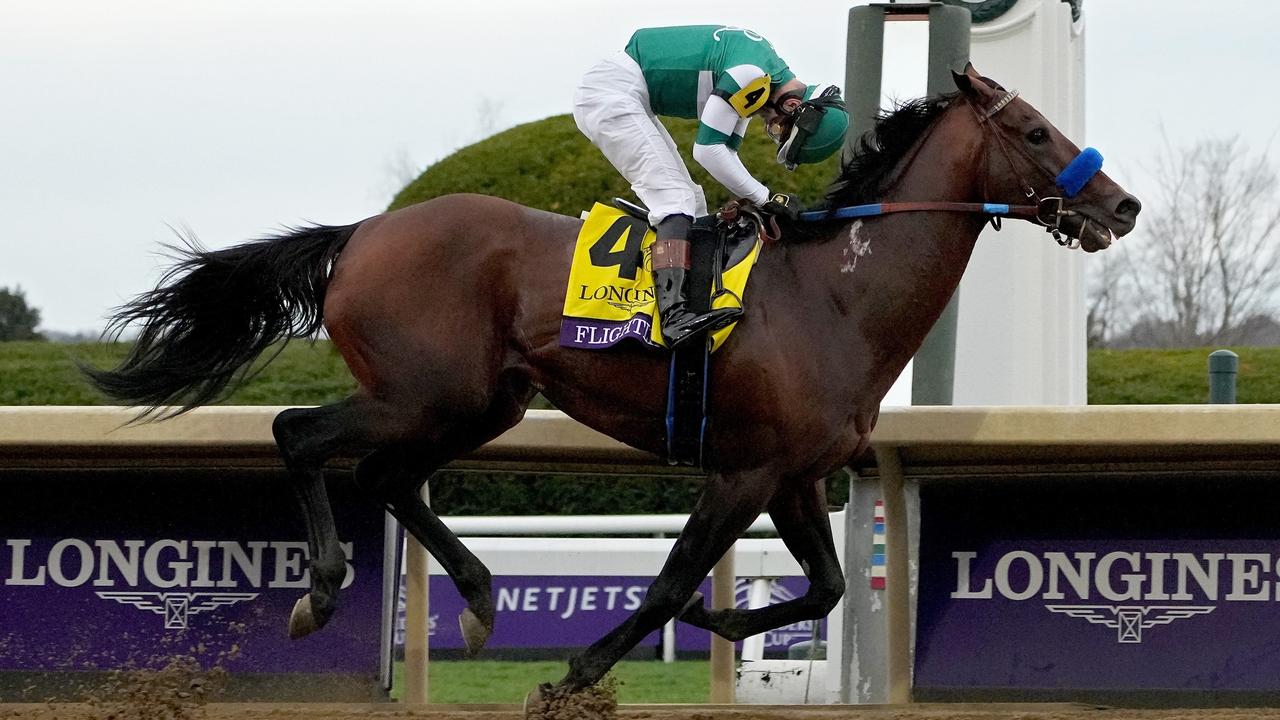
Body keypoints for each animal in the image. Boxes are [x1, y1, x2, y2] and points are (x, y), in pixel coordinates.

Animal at [82, 65, 1141, 691]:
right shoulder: (744, 472)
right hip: (425, 394)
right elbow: (670, 581)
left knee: (387, 477)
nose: (1122, 204)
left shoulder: (796, 475)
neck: (837, 293)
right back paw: (324, 591)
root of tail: (363, 234)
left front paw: (729, 617)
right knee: (299, 434)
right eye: (1036, 131)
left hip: (479, 402)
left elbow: (831, 587)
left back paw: (477, 600)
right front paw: (577, 672)